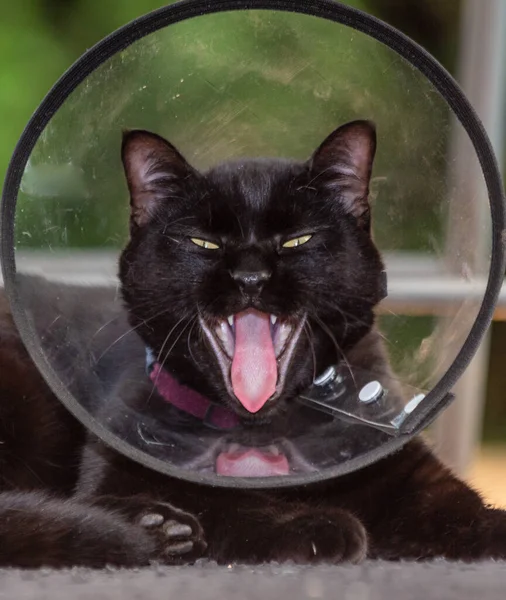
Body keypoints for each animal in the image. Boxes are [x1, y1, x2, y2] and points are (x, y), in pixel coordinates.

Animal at [0, 120, 506, 568]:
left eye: (297, 240)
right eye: (203, 243)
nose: (250, 277)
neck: (260, 432)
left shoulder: (407, 470)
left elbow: (468, 509)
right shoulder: (112, 472)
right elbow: (225, 500)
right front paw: (315, 525)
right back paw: (158, 528)